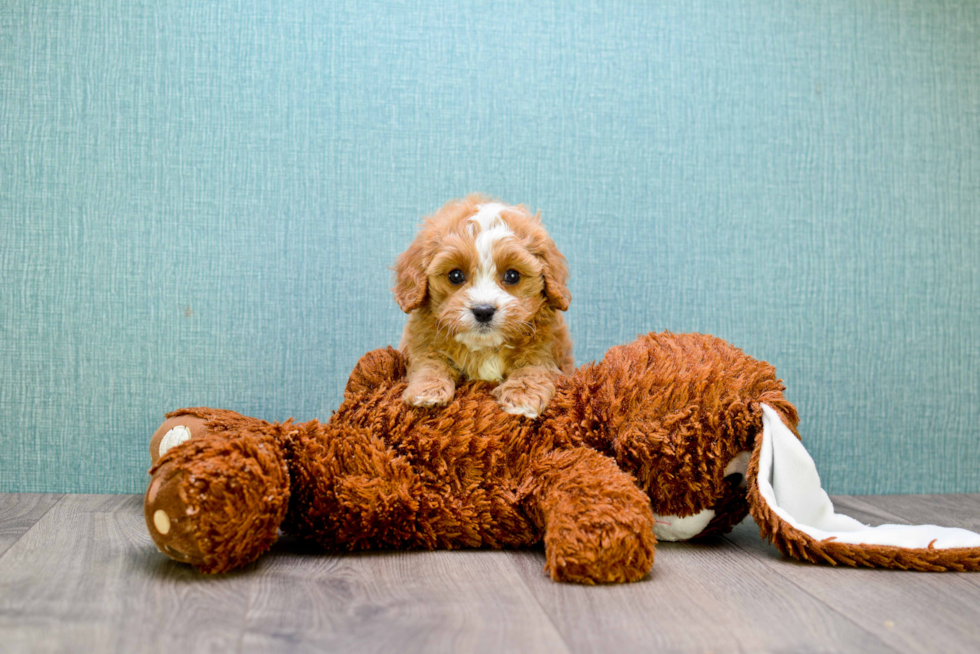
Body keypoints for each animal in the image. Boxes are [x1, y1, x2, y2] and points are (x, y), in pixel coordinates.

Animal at [392, 196, 576, 420]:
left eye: (512, 275)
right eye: (455, 275)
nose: (483, 311)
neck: (485, 347)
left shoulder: (548, 351)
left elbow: (535, 367)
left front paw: (522, 396)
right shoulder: (423, 344)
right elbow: (430, 362)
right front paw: (427, 390)